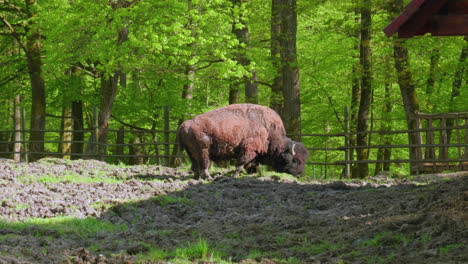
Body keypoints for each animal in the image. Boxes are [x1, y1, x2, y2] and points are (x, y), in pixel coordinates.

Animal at [177, 103, 308, 179]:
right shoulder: (248, 150)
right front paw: (234, 176)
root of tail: (185, 124)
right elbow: (240, 164)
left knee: (195, 164)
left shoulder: (255, 153)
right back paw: (209, 178)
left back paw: (196, 178)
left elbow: (253, 164)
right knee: (204, 164)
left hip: (191, 152)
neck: (268, 130)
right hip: (203, 150)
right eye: (295, 160)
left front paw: (257, 174)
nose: (299, 174)